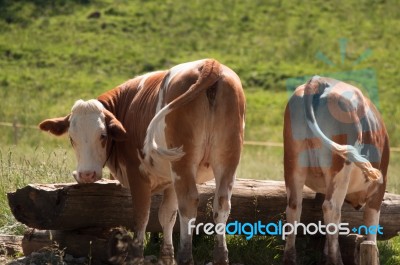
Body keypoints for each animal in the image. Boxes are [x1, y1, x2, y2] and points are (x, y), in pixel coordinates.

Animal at [39, 59, 245, 264]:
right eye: (71, 138)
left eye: (103, 135)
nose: (86, 174)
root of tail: (210, 63)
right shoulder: (170, 179)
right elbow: (166, 215)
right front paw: (166, 256)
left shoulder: (137, 173)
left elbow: (141, 215)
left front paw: (137, 256)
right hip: (227, 161)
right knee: (221, 205)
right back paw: (220, 257)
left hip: (183, 163)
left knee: (188, 204)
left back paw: (185, 257)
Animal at [282, 75, 390, 262]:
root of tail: (319, 81)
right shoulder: (380, 185)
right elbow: (372, 222)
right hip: (340, 169)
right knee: (331, 208)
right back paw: (335, 259)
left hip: (293, 162)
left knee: (294, 206)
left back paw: (290, 258)